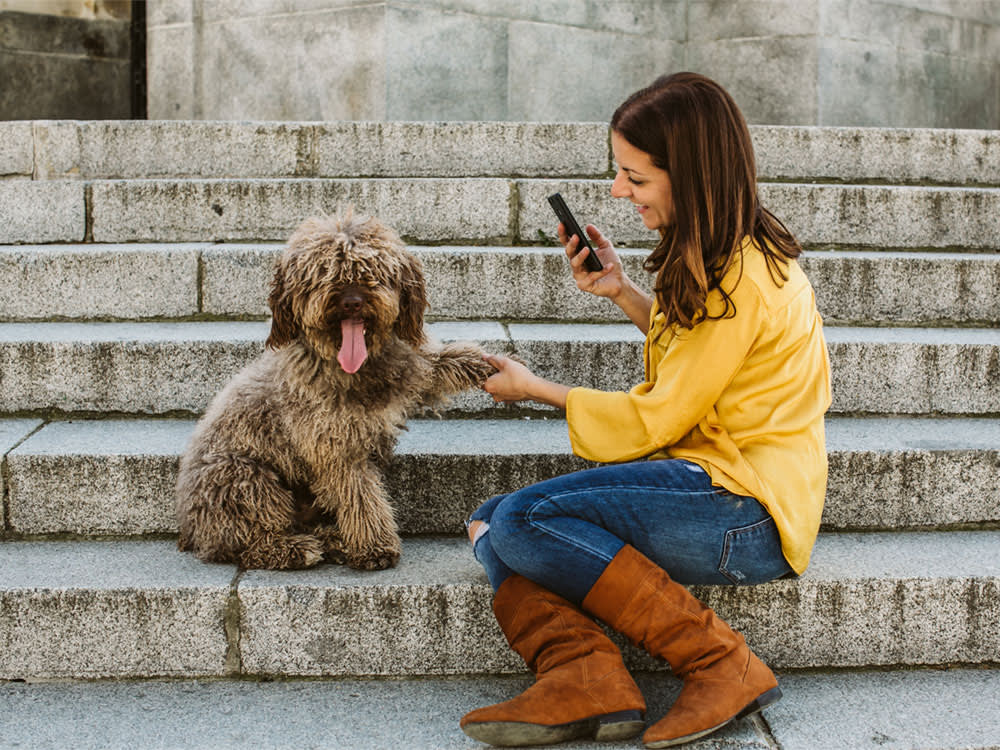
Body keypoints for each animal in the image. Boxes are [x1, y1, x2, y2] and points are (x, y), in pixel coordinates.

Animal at [179, 212, 496, 568]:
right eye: (323, 273)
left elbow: (433, 363)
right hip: (245, 478)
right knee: (253, 541)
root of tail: (191, 530)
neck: (354, 368)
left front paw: (482, 363)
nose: (351, 302)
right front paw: (375, 546)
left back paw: (332, 539)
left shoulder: (405, 368)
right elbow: (361, 496)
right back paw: (295, 548)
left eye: (372, 270)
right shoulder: (335, 447)